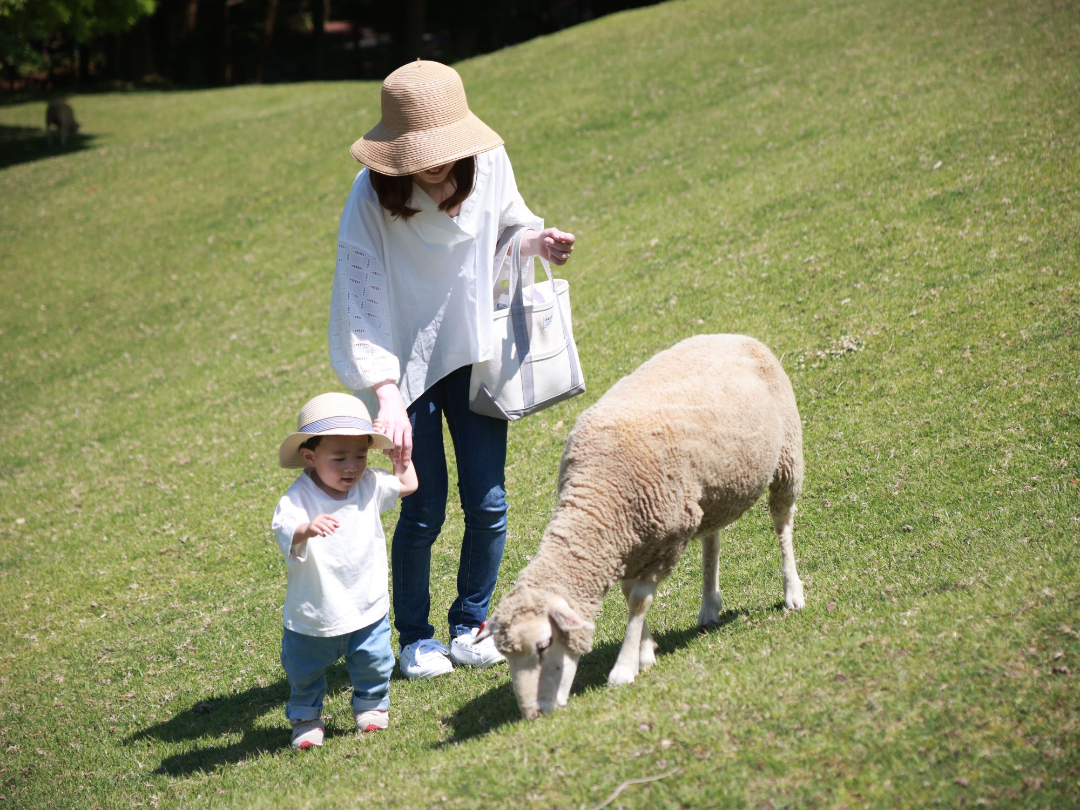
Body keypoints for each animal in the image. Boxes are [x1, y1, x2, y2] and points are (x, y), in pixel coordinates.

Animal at [477, 336, 807, 721]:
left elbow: (638, 600)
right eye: (507, 655)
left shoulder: (667, 541)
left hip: (786, 457)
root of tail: (737, 337)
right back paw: (709, 606)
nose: (532, 715)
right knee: (712, 539)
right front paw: (646, 652)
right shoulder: (628, 544)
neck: (598, 497)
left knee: (783, 524)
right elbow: (628, 595)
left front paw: (624, 668)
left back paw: (792, 592)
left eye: (544, 645)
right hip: (713, 493)